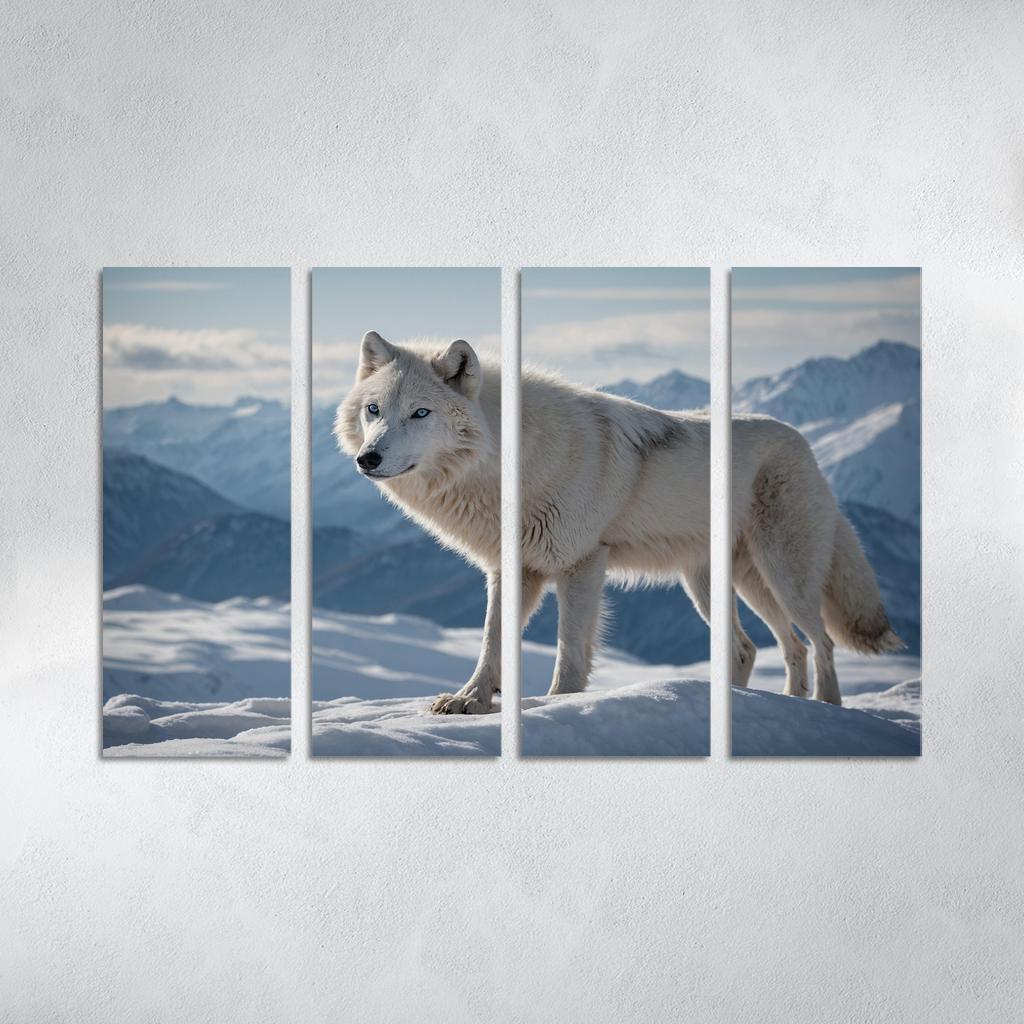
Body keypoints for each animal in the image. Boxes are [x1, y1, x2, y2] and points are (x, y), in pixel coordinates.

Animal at [336, 332, 900, 713]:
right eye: (373, 410)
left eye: (421, 413)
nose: (368, 459)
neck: (511, 463)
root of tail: (805, 443)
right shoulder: (510, 570)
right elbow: (492, 642)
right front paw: (470, 701)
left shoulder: (582, 562)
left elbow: (569, 652)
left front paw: (559, 704)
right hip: (721, 584)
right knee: (758, 648)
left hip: (783, 576)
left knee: (820, 642)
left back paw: (824, 708)